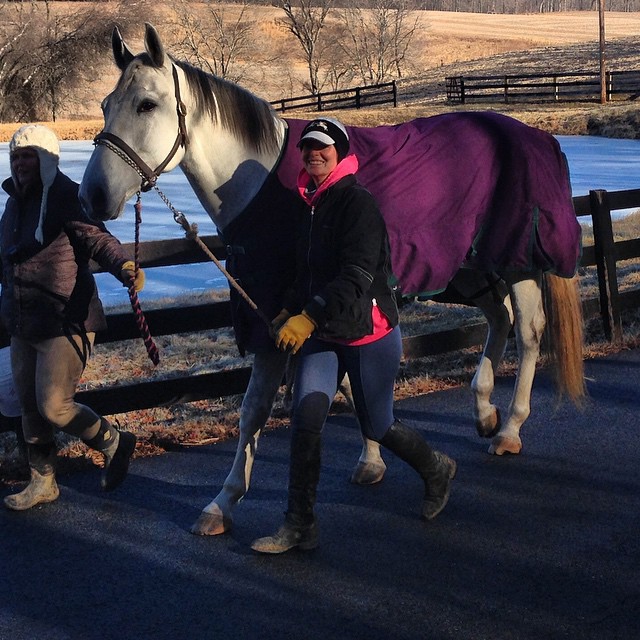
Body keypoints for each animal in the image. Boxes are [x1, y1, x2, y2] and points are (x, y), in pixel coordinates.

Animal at [79, 23, 584, 536]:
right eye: (105, 104)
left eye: (147, 104)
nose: (92, 196)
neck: (266, 183)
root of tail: (538, 137)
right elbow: (346, 385)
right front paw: (372, 461)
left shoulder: (276, 318)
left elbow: (255, 408)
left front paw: (223, 501)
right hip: (469, 267)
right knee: (498, 318)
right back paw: (484, 412)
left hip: (517, 261)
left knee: (528, 331)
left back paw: (509, 429)